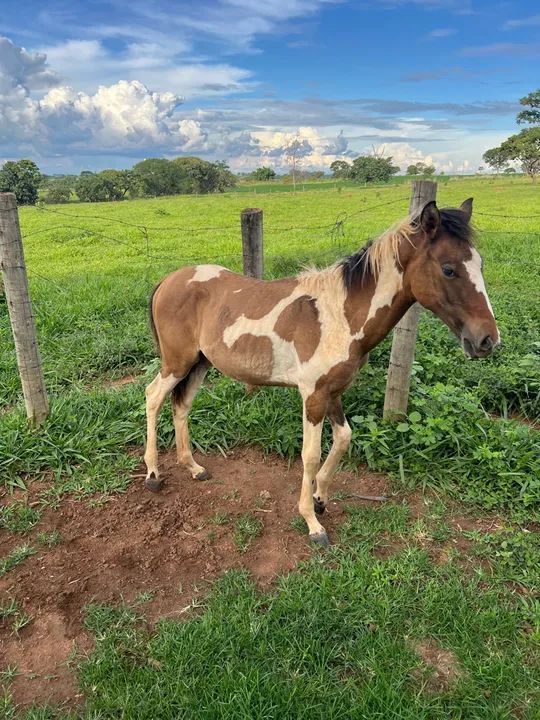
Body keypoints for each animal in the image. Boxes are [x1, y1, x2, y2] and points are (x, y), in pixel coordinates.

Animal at [143, 198, 499, 546]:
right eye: (449, 269)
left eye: (480, 265)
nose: (487, 340)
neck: (341, 316)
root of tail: (167, 281)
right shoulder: (313, 395)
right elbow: (311, 455)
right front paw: (312, 524)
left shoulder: (335, 391)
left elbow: (343, 438)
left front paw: (320, 499)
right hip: (177, 363)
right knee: (153, 397)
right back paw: (153, 474)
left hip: (199, 364)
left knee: (181, 405)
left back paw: (193, 467)